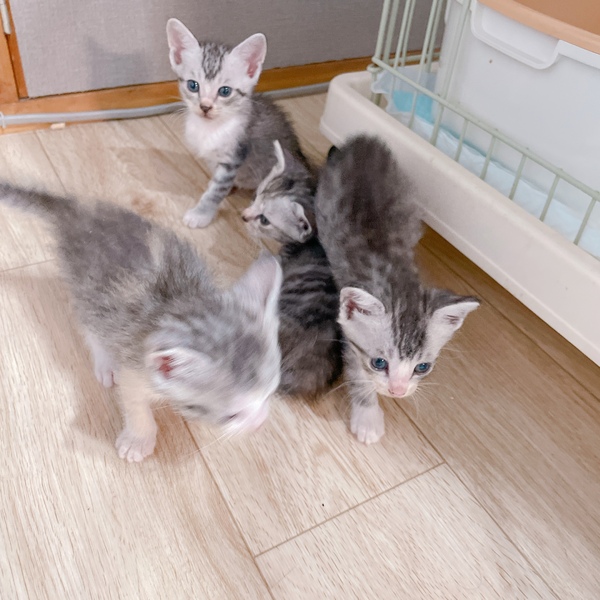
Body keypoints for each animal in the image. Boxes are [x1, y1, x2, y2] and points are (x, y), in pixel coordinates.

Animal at [0, 184, 282, 462]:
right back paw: (105, 363)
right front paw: (138, 440)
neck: (179, 304)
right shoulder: (134, 364)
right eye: (232, 415)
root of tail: (81, 213)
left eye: (270, 392)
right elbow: (135, 402)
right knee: (91, 327)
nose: (260, 423)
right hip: (86, 290)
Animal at [166, 19, 310, 229]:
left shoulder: (233, 158)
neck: (212, 128)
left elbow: (215, 192)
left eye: (225, 91)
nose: (205, 107)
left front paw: (200, 215)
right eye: (193, 85)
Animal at [315, 135, 480, 444]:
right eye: (379, 363)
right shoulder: (349, 337)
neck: (394, 273)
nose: (398, 391)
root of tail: (362, 141)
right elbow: (358, 374)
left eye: (422, 367)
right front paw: (367, 416)